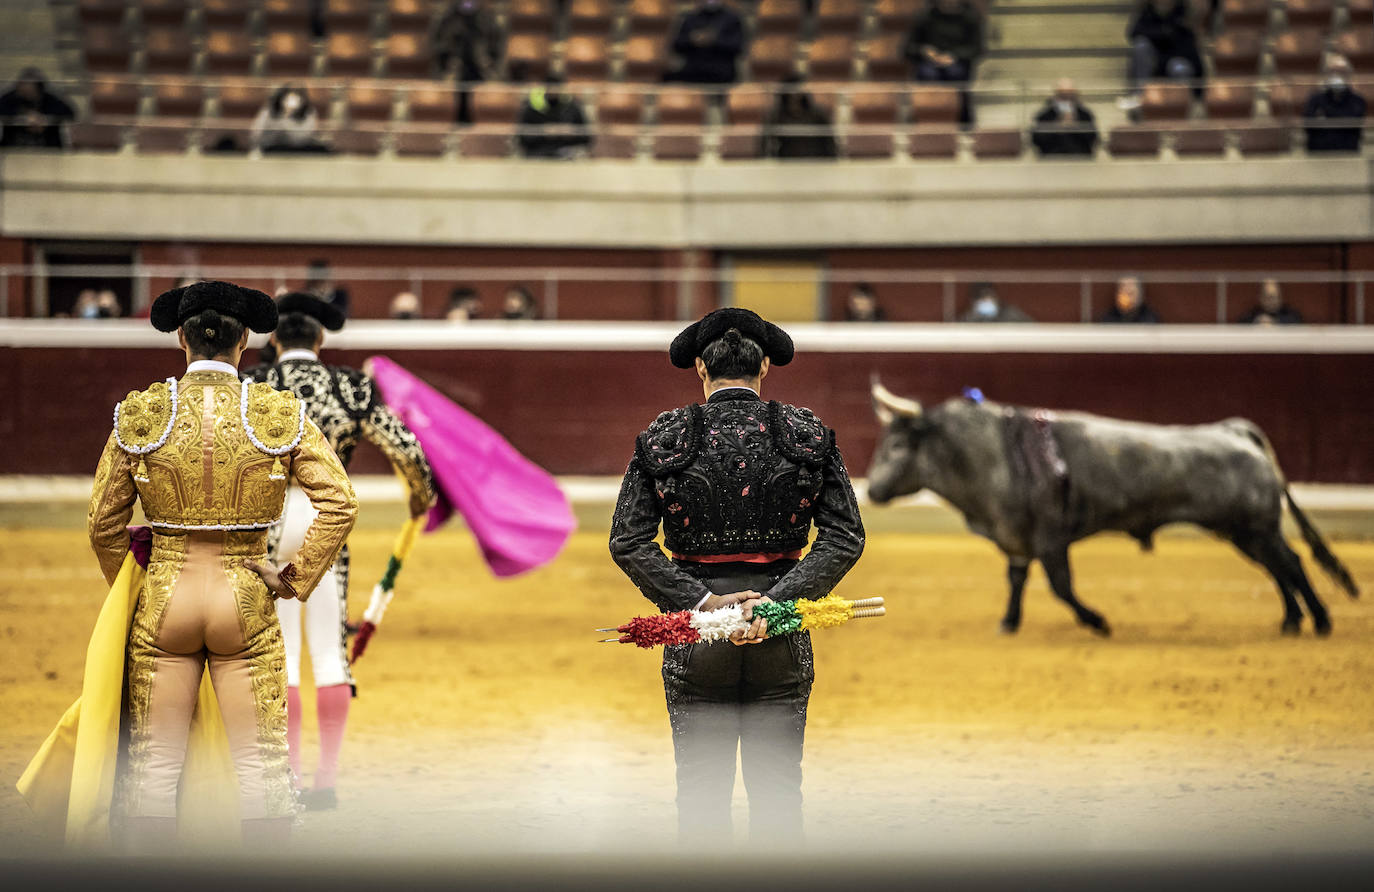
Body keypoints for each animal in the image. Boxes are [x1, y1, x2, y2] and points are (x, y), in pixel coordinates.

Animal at [862, 384, 1357, 637]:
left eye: (899, 445)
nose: (875, 490)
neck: (997, 454)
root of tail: (1233, 431)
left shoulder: (1050, 538)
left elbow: (1061, 586)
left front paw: (1097, 621)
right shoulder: (1016, 538)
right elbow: (1017, 579)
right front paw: (1009, 622)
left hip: (1257, 527)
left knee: (1291, 562)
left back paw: (1320, 620)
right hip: (1243, 532)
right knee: (1278, 568)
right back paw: (1292, 621)